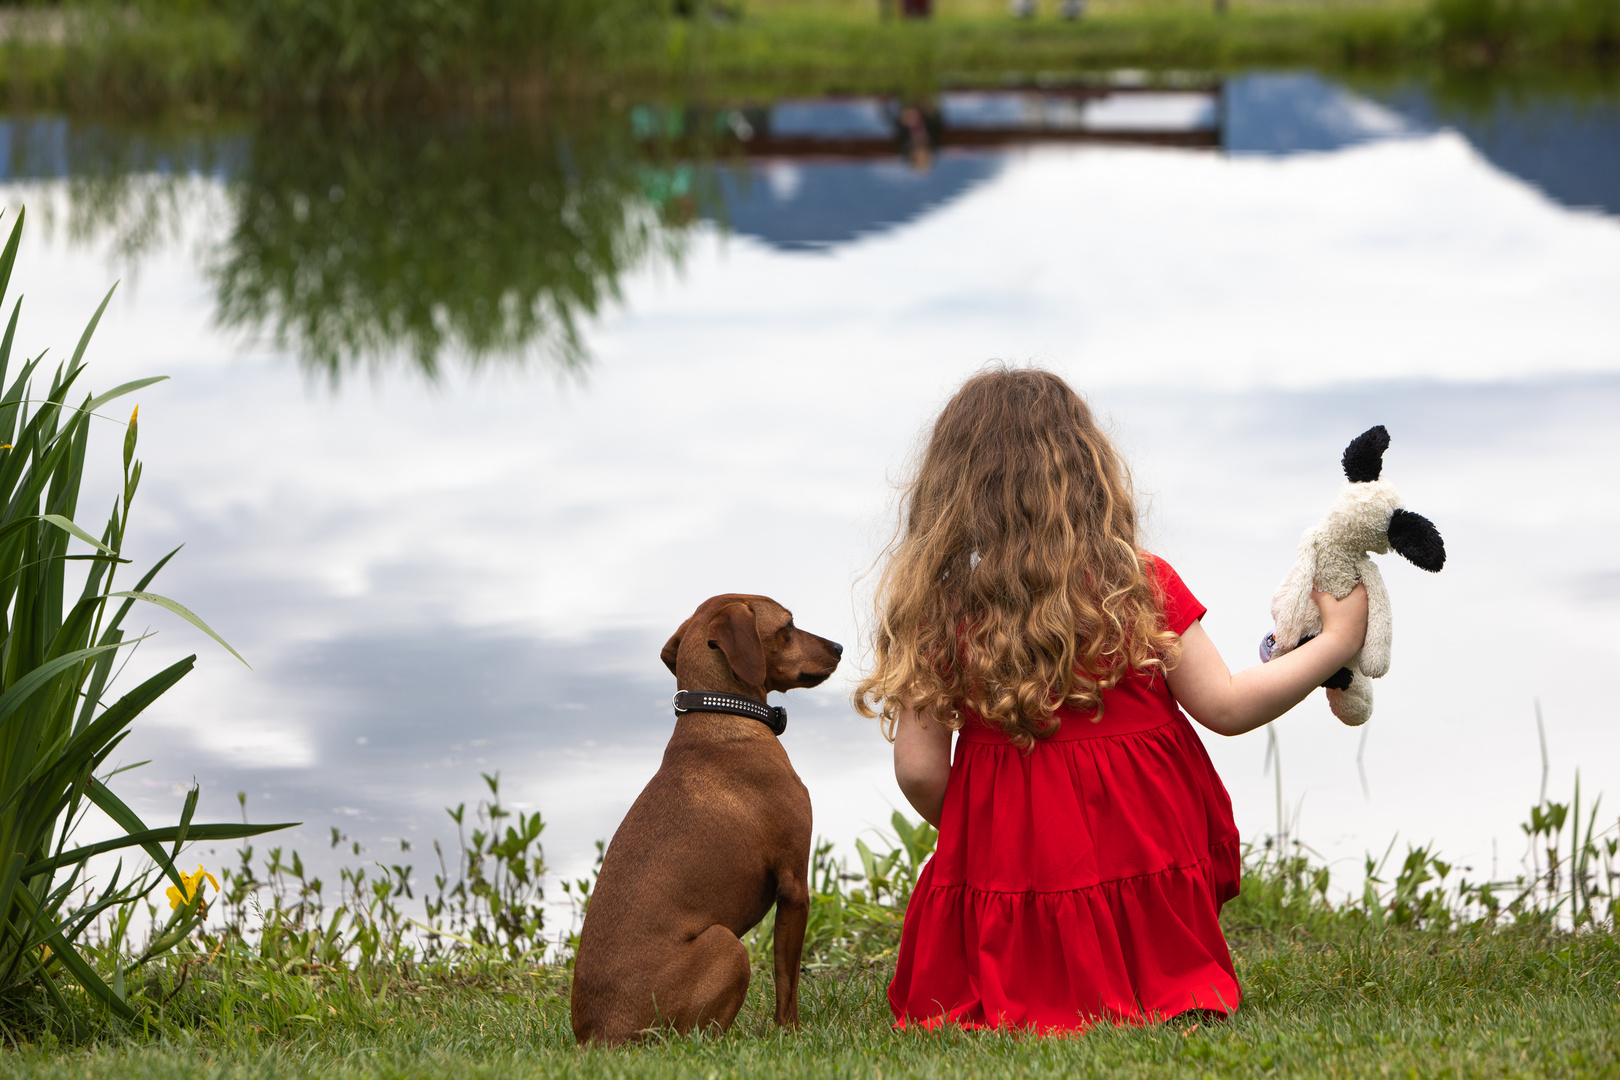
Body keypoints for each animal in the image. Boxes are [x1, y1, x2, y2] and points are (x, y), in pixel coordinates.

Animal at [573, 595, 848, 1042]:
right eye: (788, 624)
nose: (839, 647)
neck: (724, 716)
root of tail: (598, 1038)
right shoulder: (794, 885)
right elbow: (786, 981)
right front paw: (789, 1033)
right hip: (726, 944)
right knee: (702, 1038)